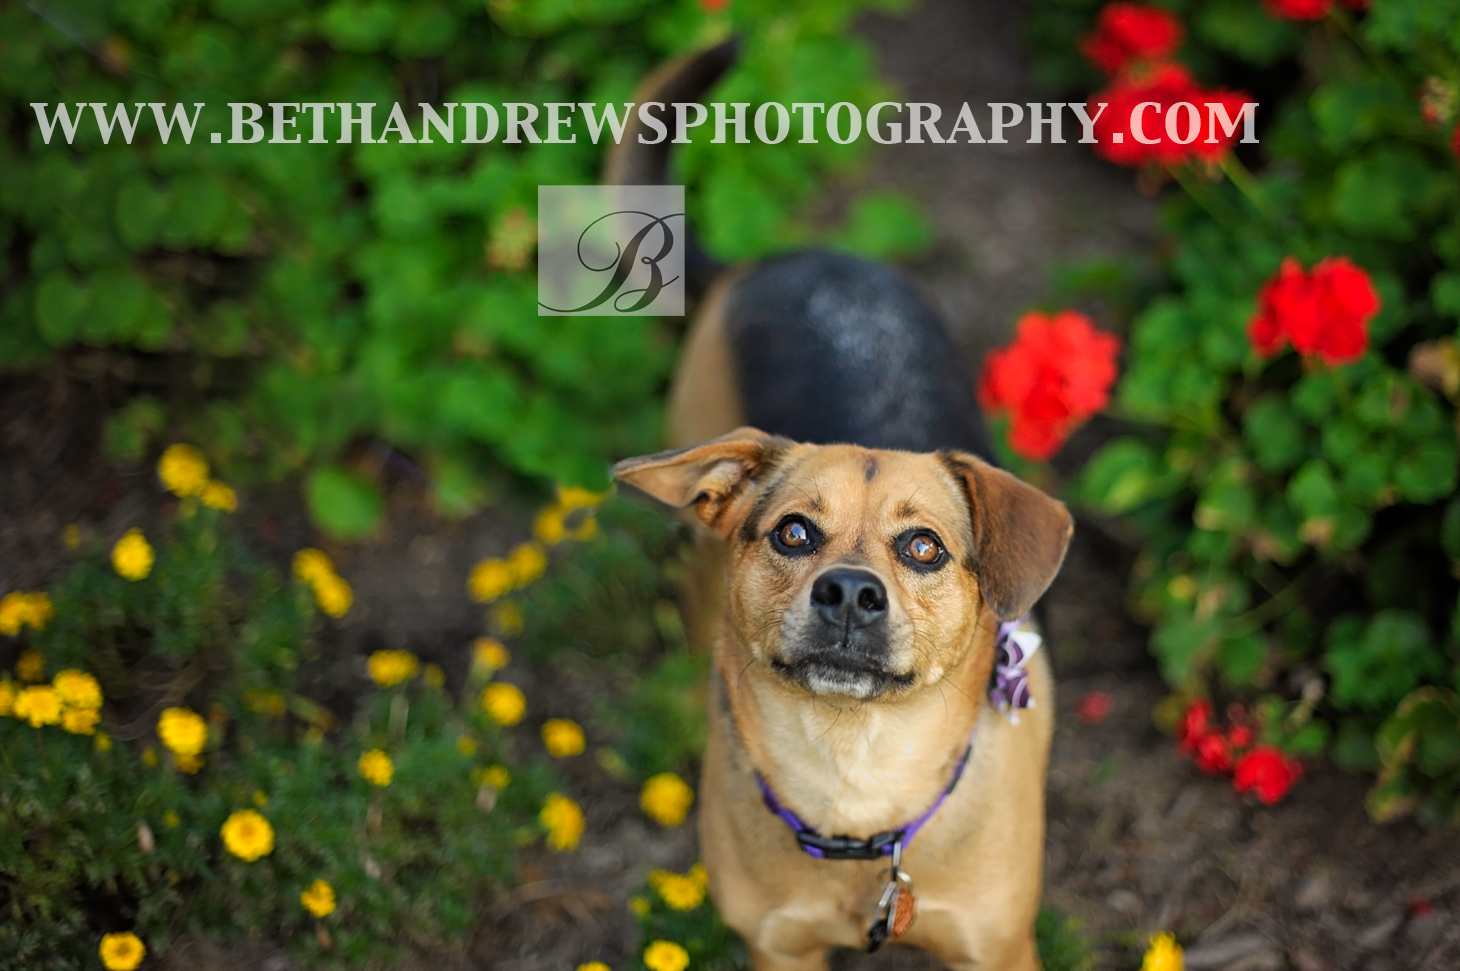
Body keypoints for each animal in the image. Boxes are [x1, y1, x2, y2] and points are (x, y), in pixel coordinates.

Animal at [604, 41, 1074, 963]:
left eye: (924, 547)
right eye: (793, 533)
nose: (851, 592)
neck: (853, 780)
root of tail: (777, 257)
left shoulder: (997, 946)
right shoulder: (779, 945)